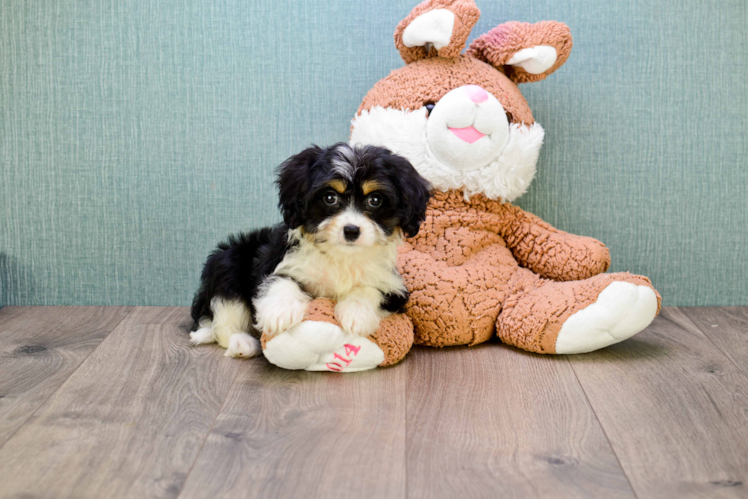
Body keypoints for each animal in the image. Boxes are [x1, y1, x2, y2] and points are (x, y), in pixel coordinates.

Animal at [190, 143, 430, 358]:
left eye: (375, 200)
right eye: (330, 197)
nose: (351, 230)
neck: (341, 256)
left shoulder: (394, 288)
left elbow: (371, 289)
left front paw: (356, 313)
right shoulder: (275, 262)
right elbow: (280, 280)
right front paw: (281, 311)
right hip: (227, 261)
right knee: (224, 318)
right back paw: (242, 343)